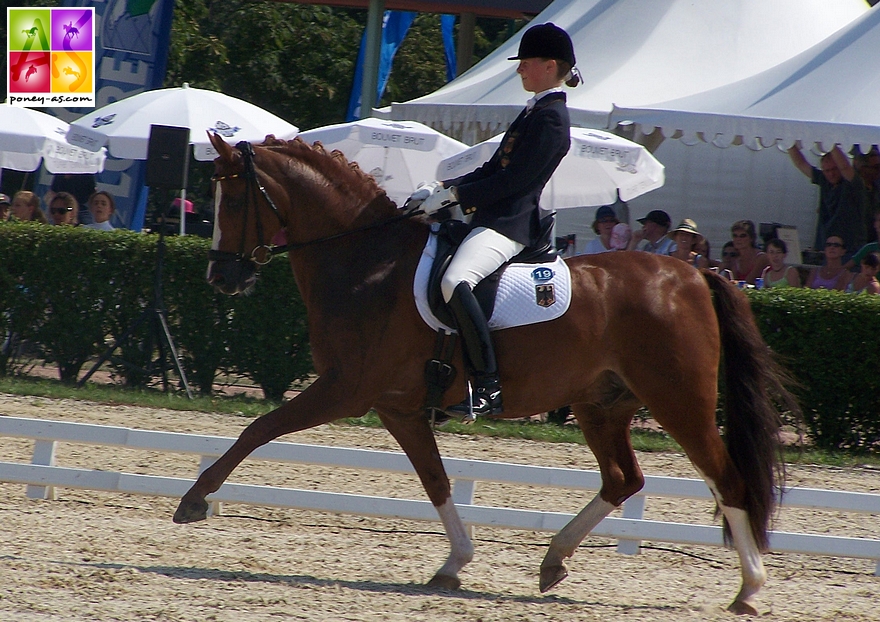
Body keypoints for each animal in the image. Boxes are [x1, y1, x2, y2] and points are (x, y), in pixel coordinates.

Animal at [174, 134, 796, 616]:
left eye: (234, 198)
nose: (219, 278)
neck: (367, 263)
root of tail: (694, 274)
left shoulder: (344, 390)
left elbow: (258, 429)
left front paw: (195, 501)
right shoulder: (396, 406)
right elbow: (436, 481)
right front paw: (454, 564)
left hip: (678, 401)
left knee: (727, 479)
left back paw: (749, 591)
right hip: (601, 404)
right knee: (623, 479)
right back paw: (553, 561)